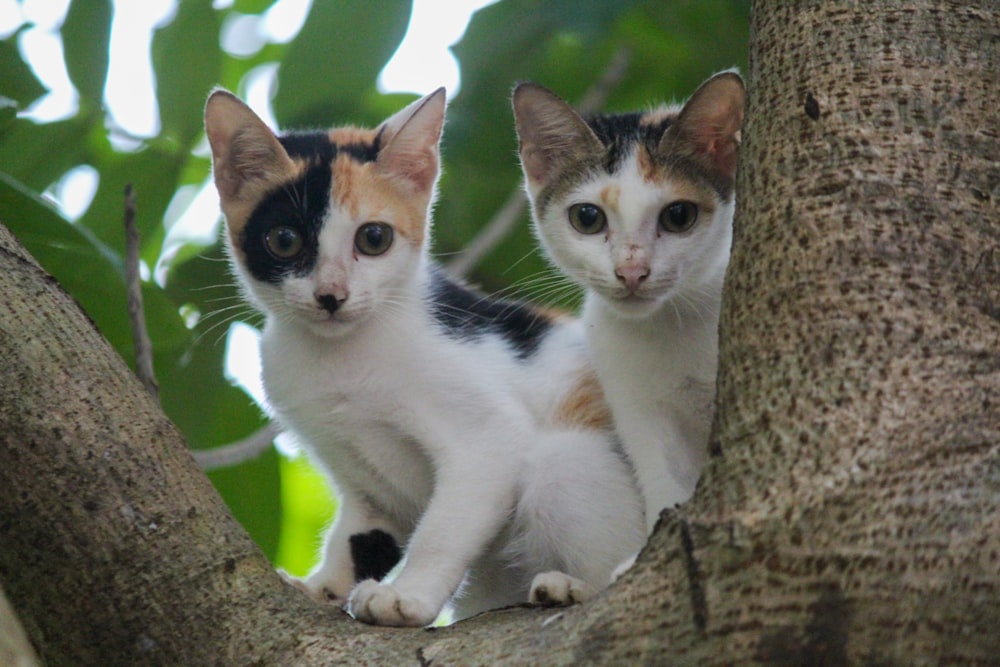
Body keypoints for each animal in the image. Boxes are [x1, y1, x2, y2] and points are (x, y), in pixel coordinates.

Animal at [204, 87, 644, 628]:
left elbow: (444, 526)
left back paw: (575, 586)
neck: (340, 356)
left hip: (570, 461)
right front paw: (320, 587)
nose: (331, 295)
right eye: (284, 240)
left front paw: (407, 597)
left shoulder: (487, 435)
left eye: (374, 238)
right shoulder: (361, 481)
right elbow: (361, 535)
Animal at [516, 72, 744, 532]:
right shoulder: (635, 404)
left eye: (679, 216)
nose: (632, 271)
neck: (674, 327)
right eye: (587, 218)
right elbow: (661, 477)